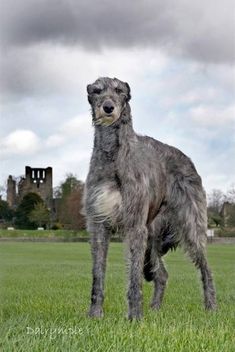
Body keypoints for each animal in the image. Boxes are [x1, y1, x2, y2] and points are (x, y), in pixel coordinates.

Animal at [84, 77, 217, 320]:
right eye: (97, 91)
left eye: (119, 90)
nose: (108, 108)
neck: (112, 154)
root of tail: (188, 160)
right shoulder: (98, 223)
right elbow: (98, 273)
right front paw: (95, 314)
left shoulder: (135, 225)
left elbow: (135, 276)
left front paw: (135, 317)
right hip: (153, 236)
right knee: (162, 273)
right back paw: (155, 309)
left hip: (191, 225)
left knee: (206, 268)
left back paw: (211, 307)